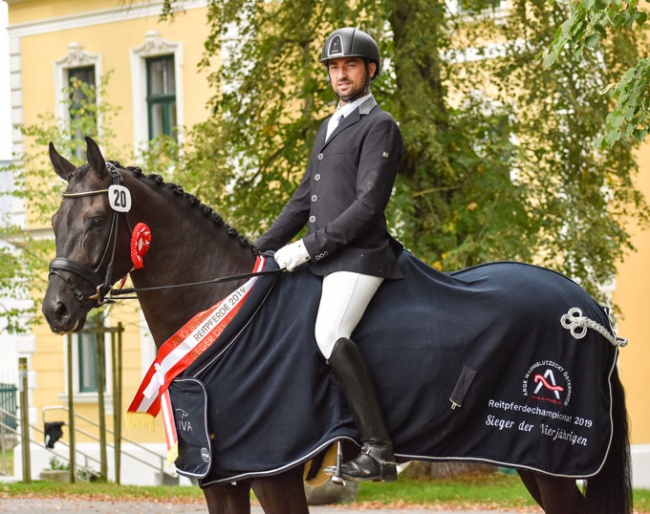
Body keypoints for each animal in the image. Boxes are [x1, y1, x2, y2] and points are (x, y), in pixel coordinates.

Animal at [41, 137, 628, 512]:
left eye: (96, 220)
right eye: (53, 221)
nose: (56, 309)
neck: (223, 307)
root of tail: (589, 310)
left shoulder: (275, 475)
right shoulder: (222, 478)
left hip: (547, 456)